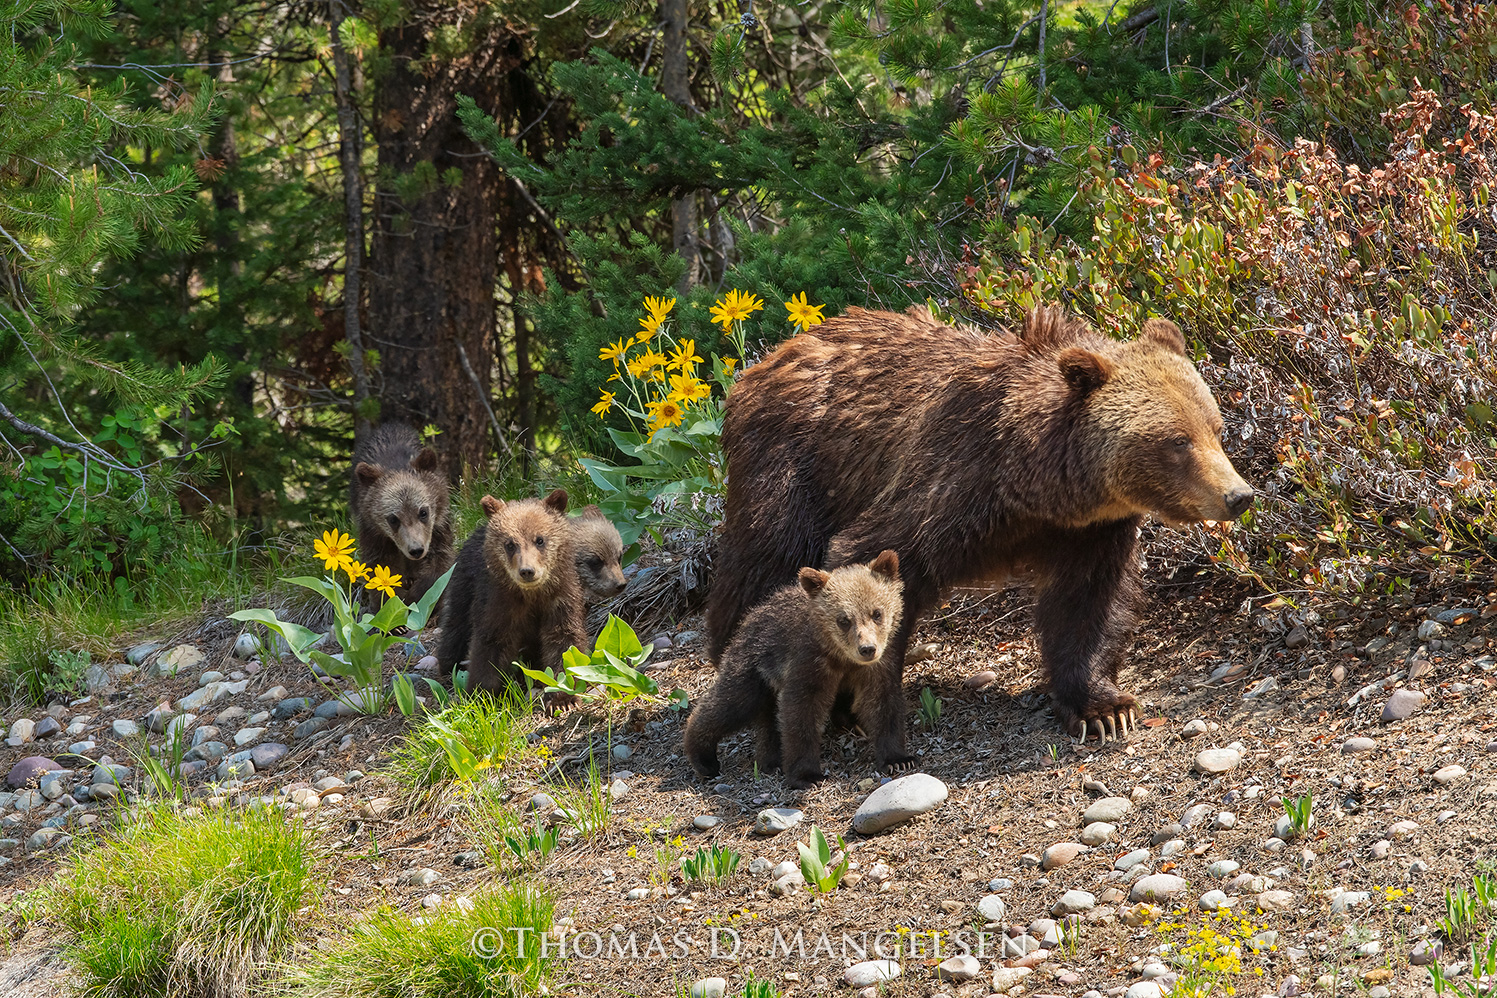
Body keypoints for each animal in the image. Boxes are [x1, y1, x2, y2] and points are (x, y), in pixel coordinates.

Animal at [350, 422, 454, 607]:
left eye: (423, 512)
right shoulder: (374, 532)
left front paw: (419, 594)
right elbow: (381, 566)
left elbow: (439, 563)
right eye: (393, 519)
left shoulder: (437, 527)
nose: (416, 550)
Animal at [436, 489, 590, 695]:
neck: (531, 595)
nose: (527, 571)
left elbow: (565, 641)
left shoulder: (561, 598)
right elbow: (490, 644)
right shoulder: (498, 602)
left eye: (540, 539)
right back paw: (448, 663)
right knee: (456, 623)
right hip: (464, 584)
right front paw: (481, 691)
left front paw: (562, 693)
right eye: (510, 544)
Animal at [684, 550, 907, 789]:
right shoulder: (808, 663)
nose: (867, 649)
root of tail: (752, 614)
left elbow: (882, 703)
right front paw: (807, 775)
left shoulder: (878, 666)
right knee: (732, 703)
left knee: (768, 719)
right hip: (753, 666)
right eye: (844, 620)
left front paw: (897, 759)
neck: (841, 658)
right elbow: (801, 712)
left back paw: (771, 761)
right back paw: (703, 757)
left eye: (877, 613)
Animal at [705, 306, 1254, 743]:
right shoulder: (947, 484)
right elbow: (869, 562)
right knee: (762, 563)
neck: (1031, 484)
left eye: (1216, 427)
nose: (1239, 495)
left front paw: (1103, 708)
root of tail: (761, 364)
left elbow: (1088, 604)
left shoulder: (1090, 531)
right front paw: (850, 696)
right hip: (793, 470)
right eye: (1177, 441)